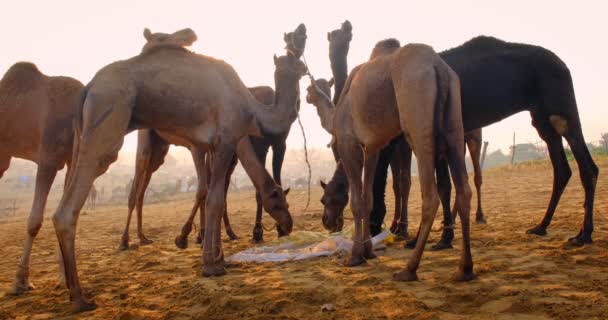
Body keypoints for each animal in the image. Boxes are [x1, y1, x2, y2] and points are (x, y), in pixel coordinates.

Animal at [48, 28, 298, 312]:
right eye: (280, 201)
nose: (288, 225)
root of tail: (88, 87)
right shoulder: (218, 143)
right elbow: (210, 197)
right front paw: (207, 260)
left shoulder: (214, 148)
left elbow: (216, 196)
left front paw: (217, 253)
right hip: (111, 121)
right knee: (83, 204)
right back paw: (84, 291)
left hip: (90, 135)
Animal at [306, 38, 472, 282]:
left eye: (323, 200)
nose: (326, 221)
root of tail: (438, 66)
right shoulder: (372, 148)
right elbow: (367, 198)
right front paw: (369, 251)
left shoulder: (348, 143)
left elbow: (357, 201)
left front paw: (355, 256)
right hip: (454, 119)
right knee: (464, 190)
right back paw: (464, 269)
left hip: (416, 112)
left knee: (430, 195)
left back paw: (409, 269)